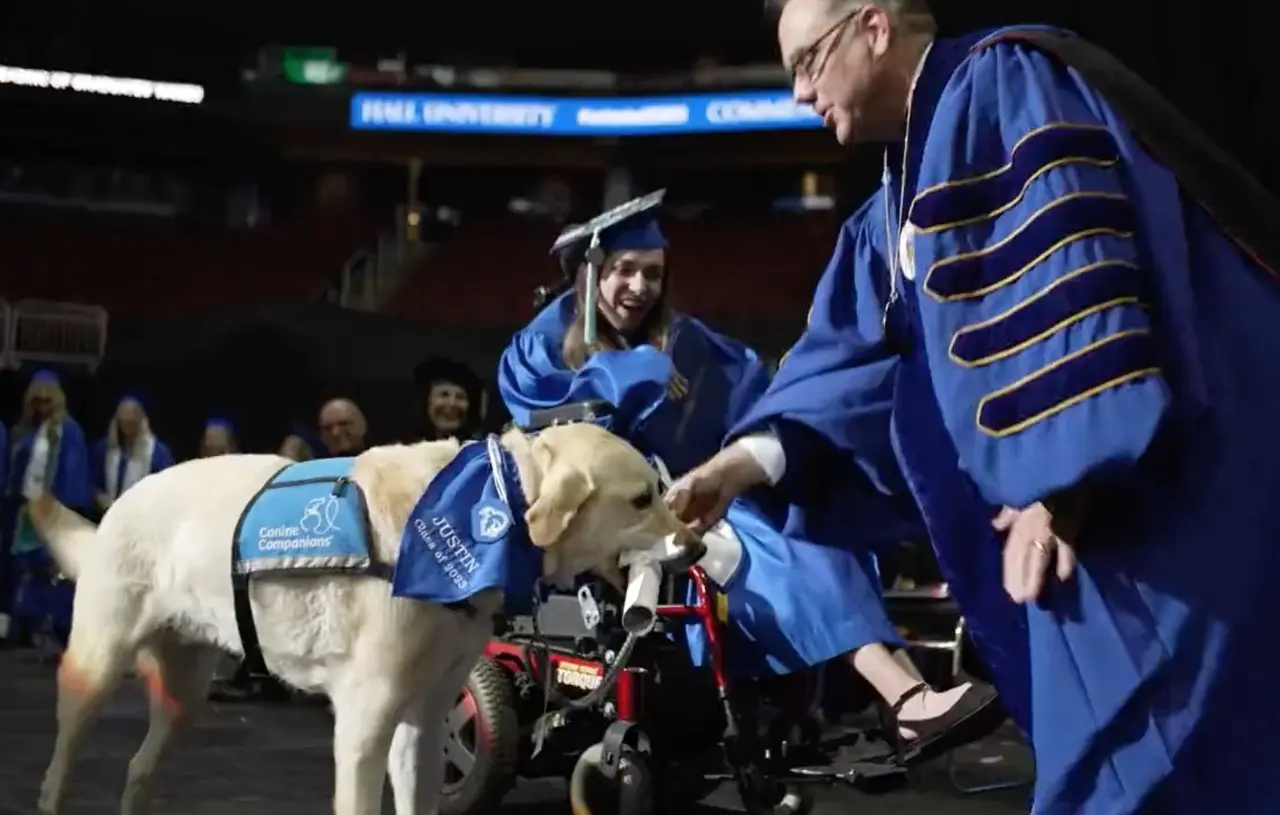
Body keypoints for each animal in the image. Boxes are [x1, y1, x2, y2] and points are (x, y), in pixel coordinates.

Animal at [30, 422, 691, 813]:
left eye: (660, 493)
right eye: (641, 500)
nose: (694, 547)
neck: (495, 503)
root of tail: (124, 498)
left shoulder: (424, 721)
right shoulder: (364, 724)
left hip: (183, 697)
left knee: (138, 768)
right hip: (95, 671)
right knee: (59, 765)